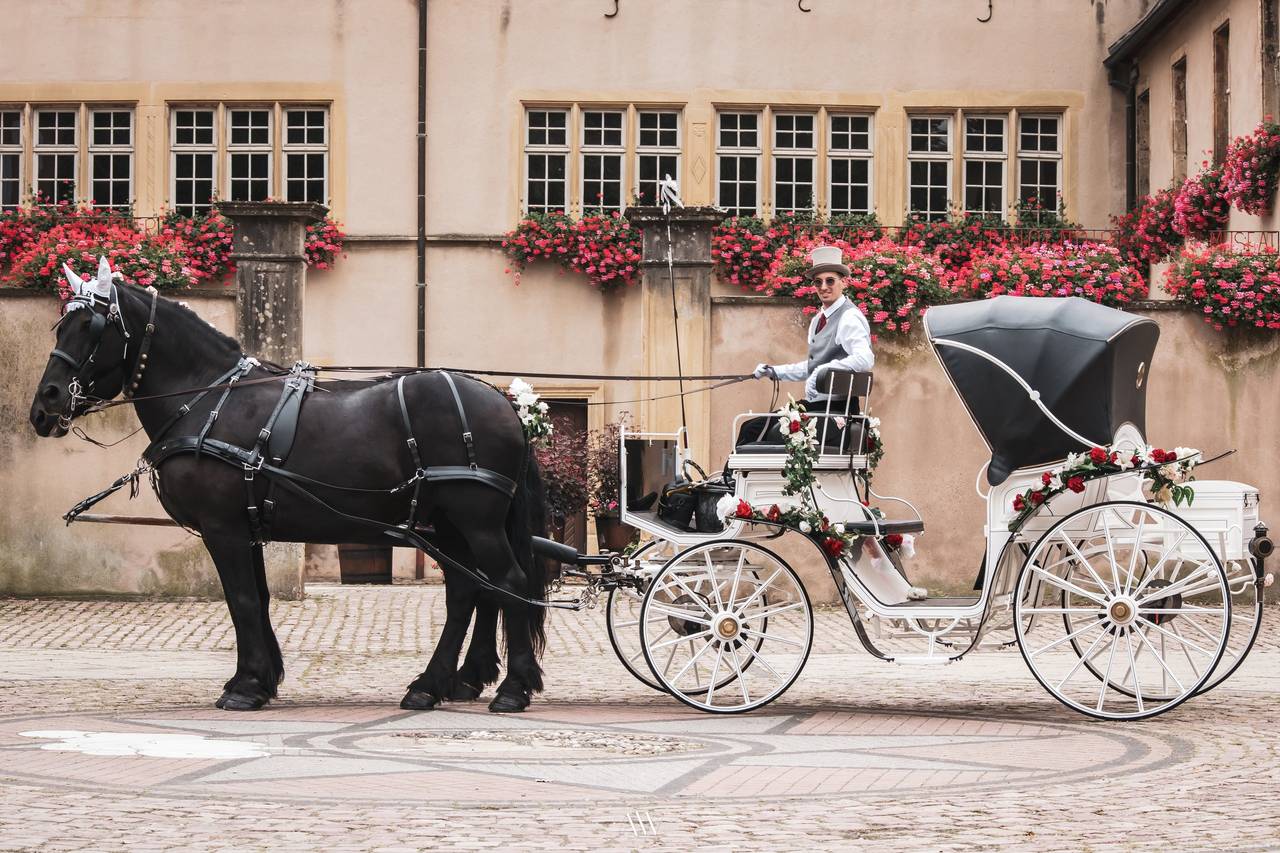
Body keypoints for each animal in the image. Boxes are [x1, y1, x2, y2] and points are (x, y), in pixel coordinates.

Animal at [30, 263, 547, 712]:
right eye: (60, 326)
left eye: (92, 327)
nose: (44, 404)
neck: (209, 397)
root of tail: (505, 403)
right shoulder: (247, 528)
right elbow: (257, 600)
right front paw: (261, 679)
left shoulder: (224, 528)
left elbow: (240, 601)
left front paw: (245, 686)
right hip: (448, 526)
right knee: (468, 591)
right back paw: (432, 685)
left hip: (474, 521)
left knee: (508, 583)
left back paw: (511, 689)